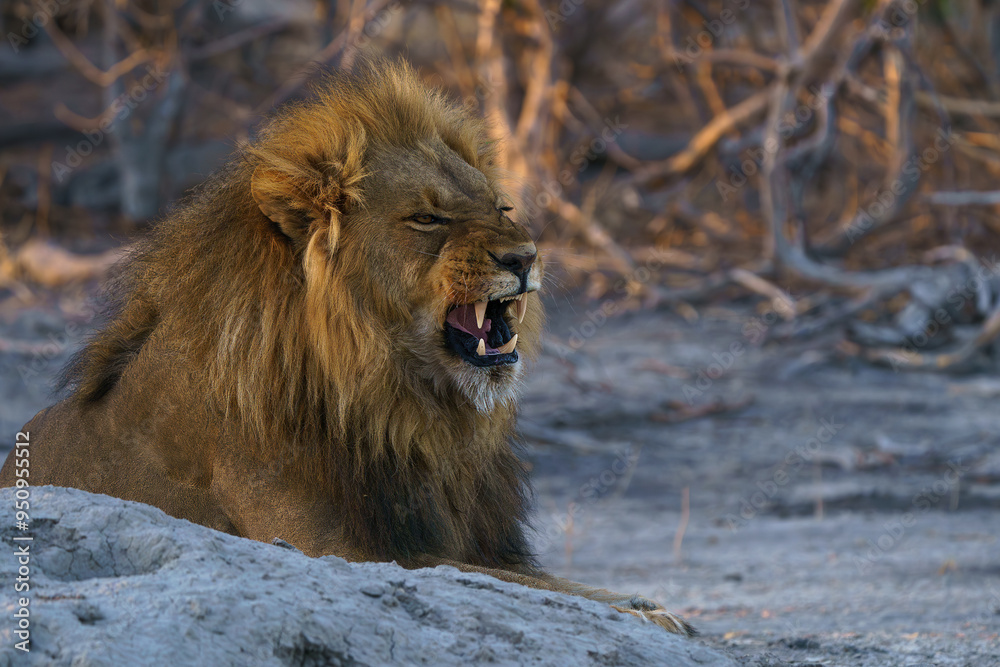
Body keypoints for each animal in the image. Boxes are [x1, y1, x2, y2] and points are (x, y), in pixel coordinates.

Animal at [0, 60, 693, 636]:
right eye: (428, 219)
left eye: (501, 207)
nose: (525, 257)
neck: (400, 407)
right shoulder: (323, 548)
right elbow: (502, 583)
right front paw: (649, 613)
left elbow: (542, 581)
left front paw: (642, 605)